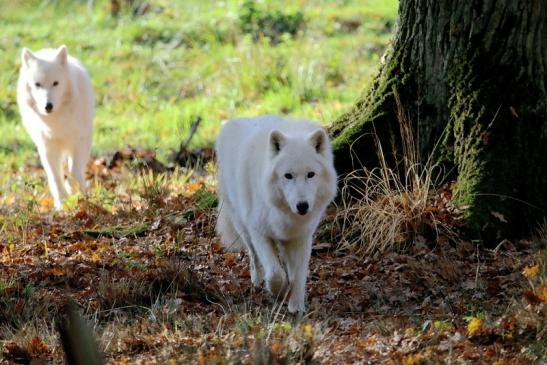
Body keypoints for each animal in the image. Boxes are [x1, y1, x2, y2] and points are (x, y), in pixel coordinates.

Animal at [215, 115, 336, 312]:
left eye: (311, 174)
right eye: (288, 175)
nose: (302, 206)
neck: (285, 214)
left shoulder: (301, 237)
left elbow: (299, 275)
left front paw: (297, 306)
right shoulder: (259, 233)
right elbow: (274, 273)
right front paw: (279, 291)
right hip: (243, 226)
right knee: (253, 255)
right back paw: (257, 279)